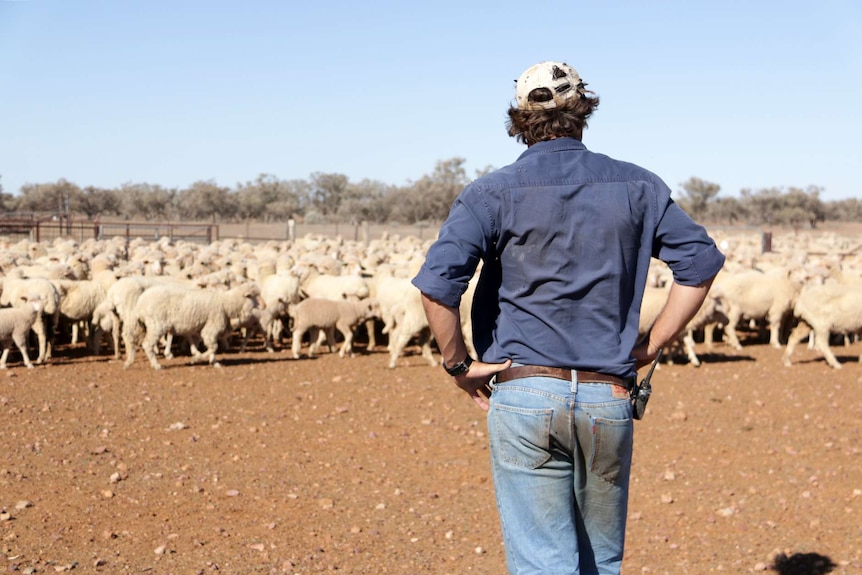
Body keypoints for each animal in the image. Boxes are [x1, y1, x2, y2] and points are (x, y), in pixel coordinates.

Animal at [130, 282, 262, 372]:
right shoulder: (211, 327)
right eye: (254, 296)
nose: (263, 306)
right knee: (147, 345)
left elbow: (210, 346)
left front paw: (214, 362)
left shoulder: (205, 330)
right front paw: (197, 358)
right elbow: (213, 347)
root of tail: (140, 303)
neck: (227, 303)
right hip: (156, 325)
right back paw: (156, 365)